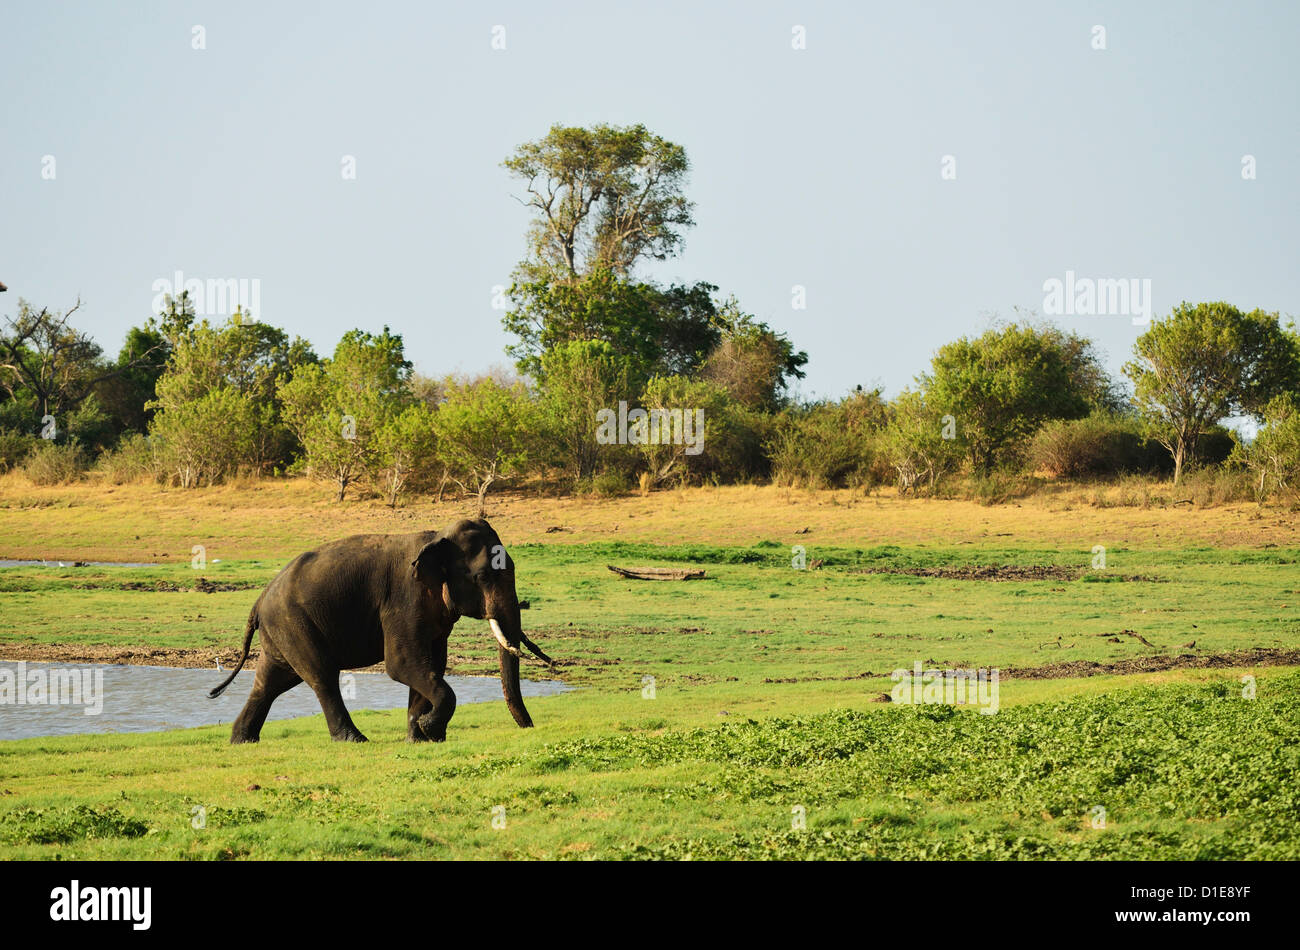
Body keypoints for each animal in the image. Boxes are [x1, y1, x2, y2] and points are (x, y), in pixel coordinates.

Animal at [208, 519, 553, 743]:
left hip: (282, 630)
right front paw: (429, 730)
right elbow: (403, 665)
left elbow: (431, 665)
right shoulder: (403, 600)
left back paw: (242, 740)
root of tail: (259, 600)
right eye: (482, 577)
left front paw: (422, 737)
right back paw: (354, 740)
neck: (437, 537)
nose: (530, 727)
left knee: (271, 682)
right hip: (294, 623)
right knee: (321, 677)